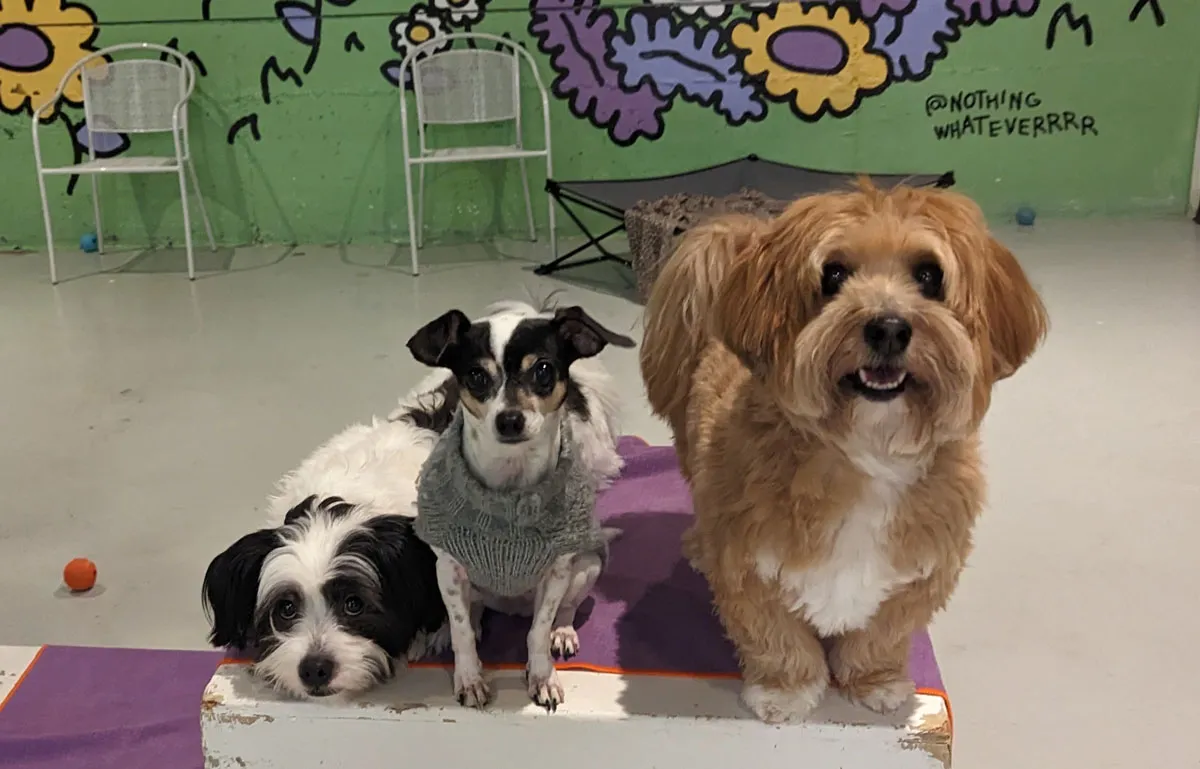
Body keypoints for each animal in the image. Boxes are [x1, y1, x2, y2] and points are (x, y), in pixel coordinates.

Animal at [398, 299, 633, 710]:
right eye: (476, 375)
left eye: (543, 370)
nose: (510, 419)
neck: (508, 484)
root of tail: (511, 605)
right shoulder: (448, 566)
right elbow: (462, 631)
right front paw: (469, 677)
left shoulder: (557, 571)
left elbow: (537, 632)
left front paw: (542, 677)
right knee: (470, 612)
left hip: (586, 566)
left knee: (566, 608)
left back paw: (563, 632)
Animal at [643, 182, 1046, 724]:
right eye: (833, 274)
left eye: (929, 276)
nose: (889, 327)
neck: (867, 451)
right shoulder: (747, 566)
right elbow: (776, 638)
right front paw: (785, 690)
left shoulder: (919, 575)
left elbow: (880, 636)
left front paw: (874, 680)